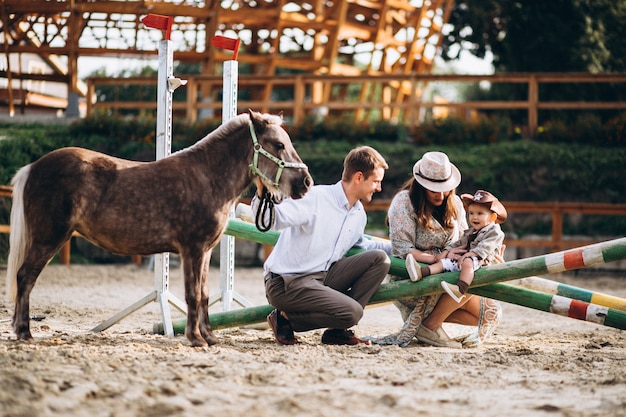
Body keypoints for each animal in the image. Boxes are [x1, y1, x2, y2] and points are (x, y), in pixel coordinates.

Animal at [5, 109, 312, 346]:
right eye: (278, 145)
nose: (306, 182)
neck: (208, 177)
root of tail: (33, 167)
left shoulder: (206, 252)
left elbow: (203, 294)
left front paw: (210, 337)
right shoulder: (192, 249)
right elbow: (191, 293)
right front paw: (195, 338)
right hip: (49, 238)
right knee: (25, 277)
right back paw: (24, 332)